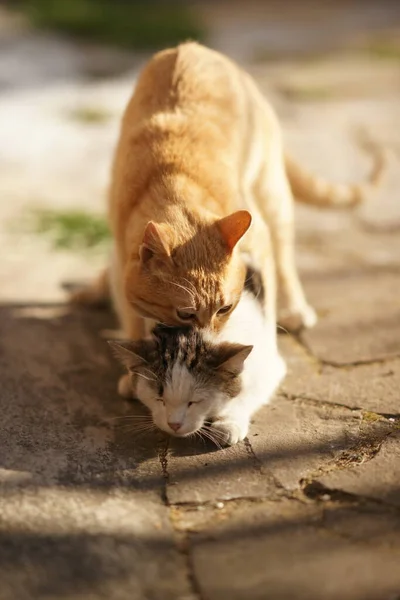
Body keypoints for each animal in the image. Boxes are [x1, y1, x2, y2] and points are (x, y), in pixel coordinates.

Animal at [72, 43, 384, 338]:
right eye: (185, 313)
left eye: (225, 308)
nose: (209, 336)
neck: (173, 179)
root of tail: (193, 47)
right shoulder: (122, 256)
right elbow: (132, 319)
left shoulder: (260, 242)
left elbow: (268, 305)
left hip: (272, 196)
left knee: (284, 261)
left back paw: (296, 310)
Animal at [109, 268, 284, 446]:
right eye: (160, 399)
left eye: (194, 402)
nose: (174, 424)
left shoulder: (270, 367)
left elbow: (248, 393)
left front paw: (228, 422)